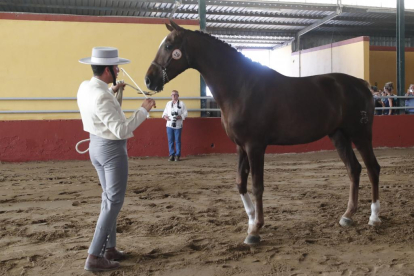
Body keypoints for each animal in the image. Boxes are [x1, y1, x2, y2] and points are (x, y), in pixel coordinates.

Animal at [146, 22, 382, 246]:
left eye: (169, 46)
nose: (149, 79)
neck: (241, 87)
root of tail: (362, 84)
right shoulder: (240, 146)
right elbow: (240, 183)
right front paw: (251, 220)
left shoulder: (255, 146)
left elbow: (257, 186)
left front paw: (255, 230)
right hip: (339, 135)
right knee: (354, 169)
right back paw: (347, 215)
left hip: (361, 134)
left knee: (372, 168)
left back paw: (374, 217)